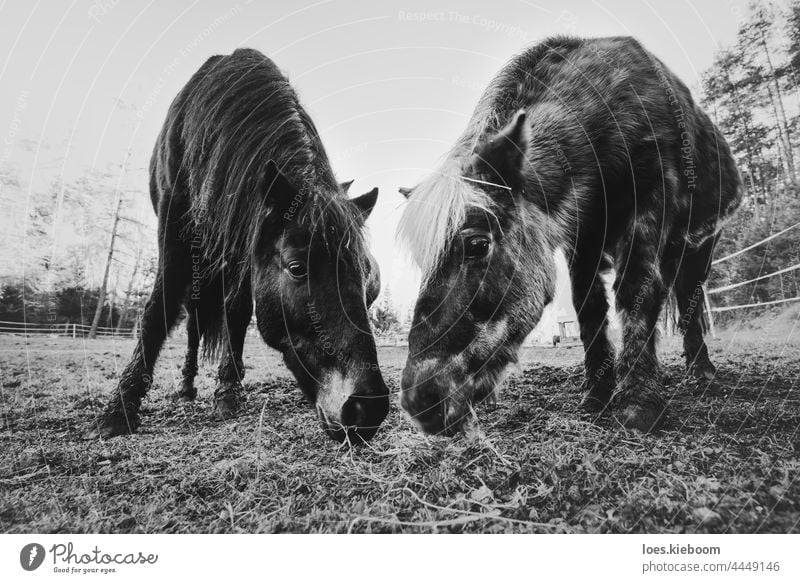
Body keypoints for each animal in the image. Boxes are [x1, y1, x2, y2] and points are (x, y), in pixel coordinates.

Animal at [95, 49, 390, 442]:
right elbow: (158, 310)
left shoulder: (244, 249)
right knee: (192, 320)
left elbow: (236, 313)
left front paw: (227, 393)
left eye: (370, 285)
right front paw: (119, 410)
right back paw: (186, 388)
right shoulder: (174, 233)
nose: (367, 408)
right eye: (297, 268)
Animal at [400, 36, 744, 436]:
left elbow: (636, 290)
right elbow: (588, 305)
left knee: (690, 298)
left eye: (477, 244)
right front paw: (597, 393)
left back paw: (702, 372)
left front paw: (638, 401)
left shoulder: (650, 200)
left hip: (702, 246)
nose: (420, 400)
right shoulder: (583, 234)